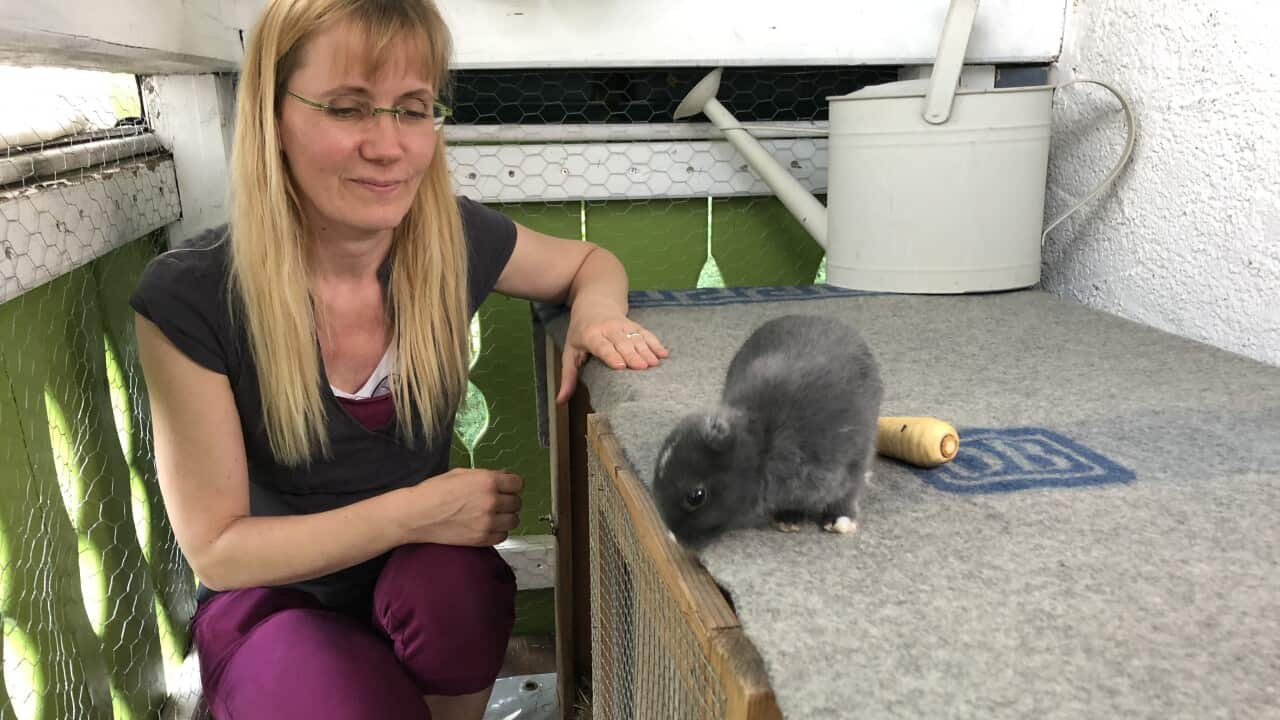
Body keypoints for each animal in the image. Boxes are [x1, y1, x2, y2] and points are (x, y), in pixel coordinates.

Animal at [652, 314, 883, 548]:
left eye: (696, 496)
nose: (674, 537)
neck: (762, 445)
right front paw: (787, 519)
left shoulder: (852, 460)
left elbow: (848, 493)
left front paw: (839, 521)